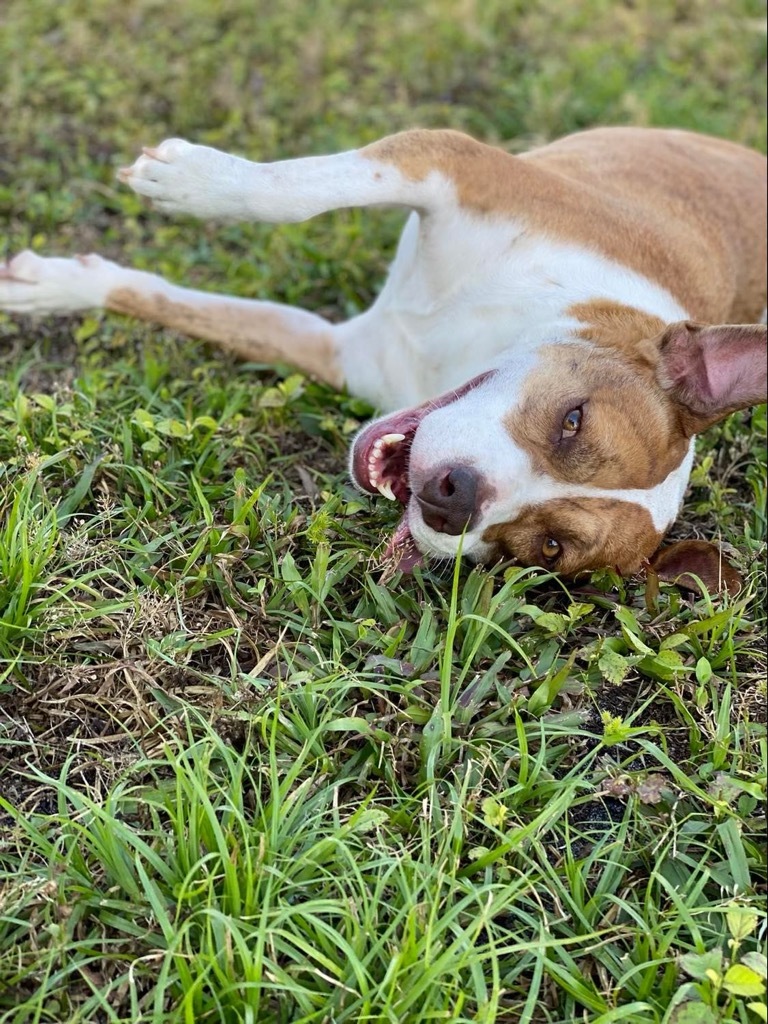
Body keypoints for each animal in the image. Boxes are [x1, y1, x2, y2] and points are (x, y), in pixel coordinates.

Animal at [0, 125, 765, 593]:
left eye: (546, 549)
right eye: (572, 420)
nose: (455, 498)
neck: (456, 352)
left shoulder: (331, 349)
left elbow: (172, 301)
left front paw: (58, 285)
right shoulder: (447, 162)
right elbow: (295, 193)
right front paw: (192, 182)